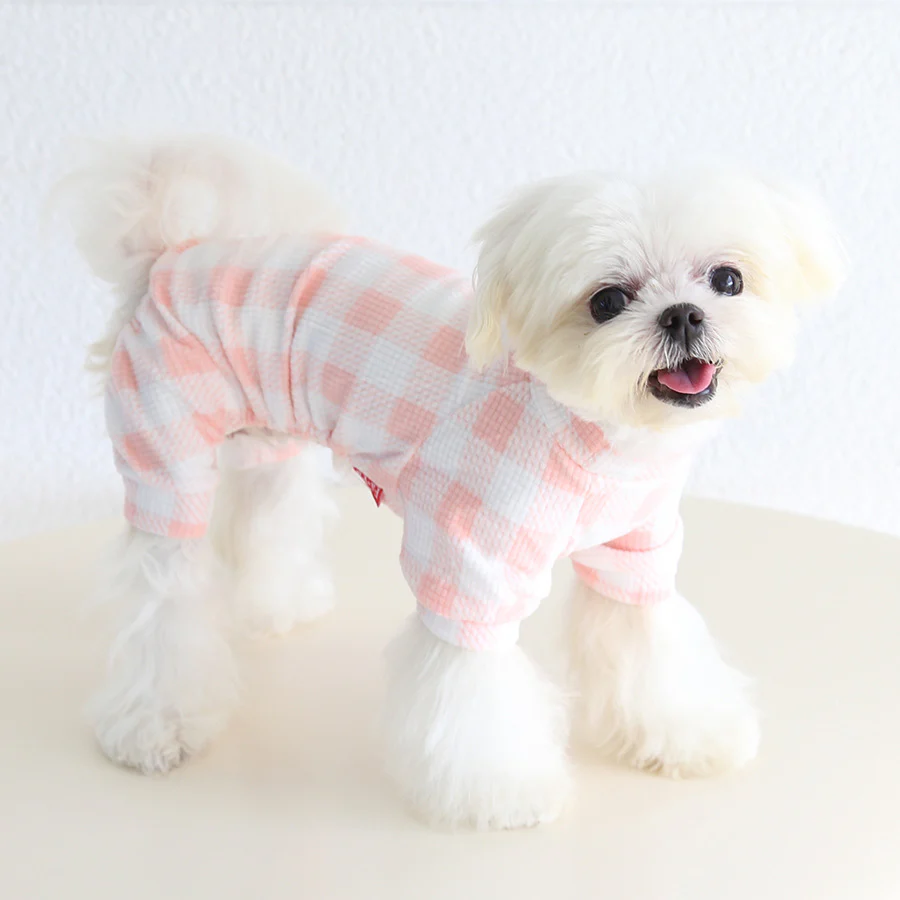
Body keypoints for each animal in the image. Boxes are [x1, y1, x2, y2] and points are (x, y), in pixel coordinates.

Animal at [57, 135, 845, 829]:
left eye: (727, 279)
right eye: (606, 301)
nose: (683, 314)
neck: (587, 431)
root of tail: (171, 253)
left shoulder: (635, 552)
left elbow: (650, 645)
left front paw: (688, 733)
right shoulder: (471, 565)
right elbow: (473, 691)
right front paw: (503, 791)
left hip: (267, 440)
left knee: (265, 517)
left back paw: (276, 606)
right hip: (165, 438)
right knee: (163, 587)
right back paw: (155, 723)